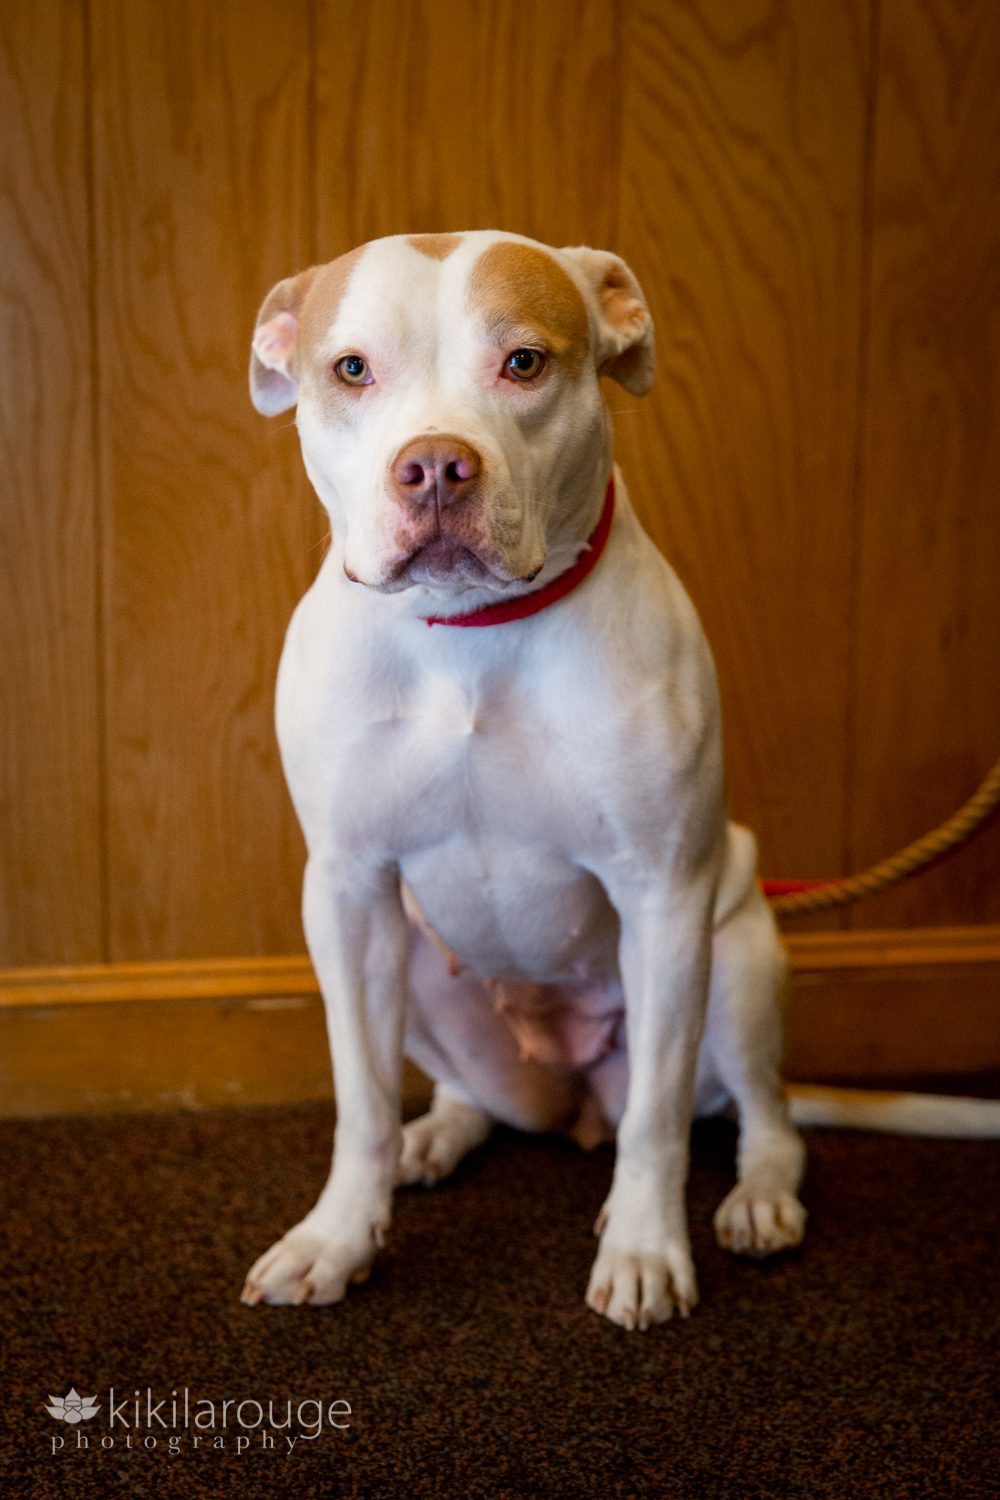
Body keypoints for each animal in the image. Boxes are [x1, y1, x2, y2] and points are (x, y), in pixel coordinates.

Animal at [245, 228, 809, 1332]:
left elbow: (659, 1123)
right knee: (471, 1099)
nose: (433, 466)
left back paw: (757, 1199)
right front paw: (337, 1238)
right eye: (351, 369)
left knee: (755, 1114)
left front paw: (645, 1252)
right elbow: (360, 1099)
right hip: (419, 970)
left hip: (736, 959)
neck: (469, 633)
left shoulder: (663, 897)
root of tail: (571, 1097)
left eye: (524, 362)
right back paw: (433, 1137)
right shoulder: (347, 889)